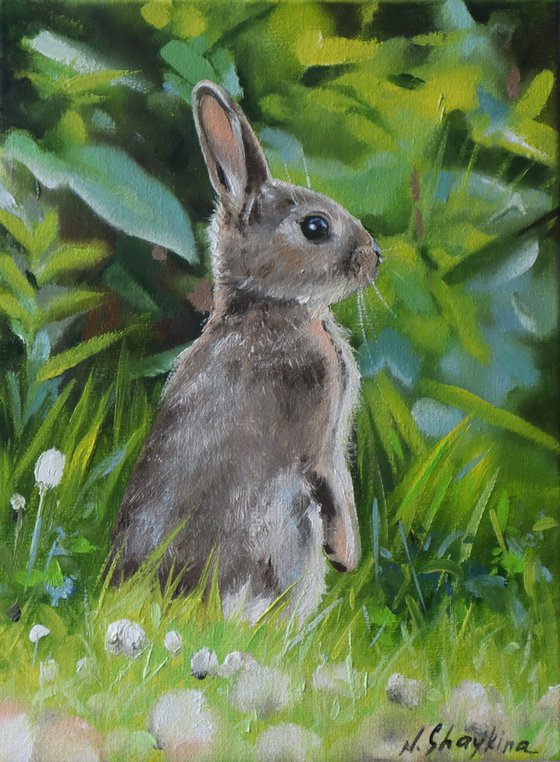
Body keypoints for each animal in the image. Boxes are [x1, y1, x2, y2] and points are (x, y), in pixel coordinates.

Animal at [109, 80, 381, 624]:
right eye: (315, 228)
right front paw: (347, 555)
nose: (374, 257)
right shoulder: (317, 440)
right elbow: (334, 486)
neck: (268, 305)